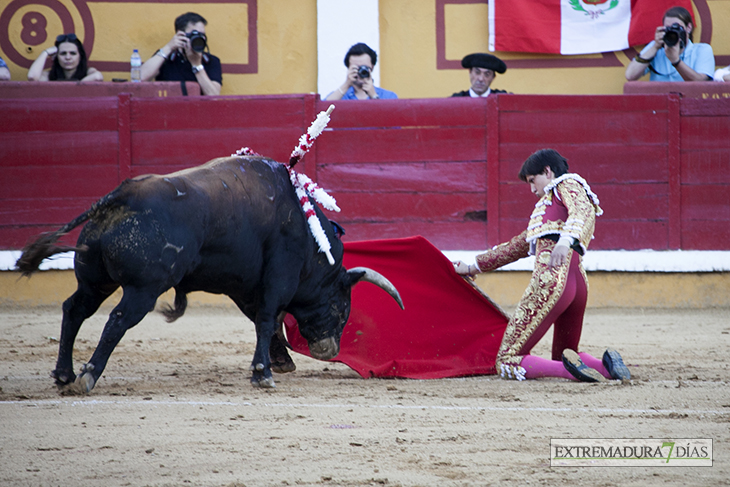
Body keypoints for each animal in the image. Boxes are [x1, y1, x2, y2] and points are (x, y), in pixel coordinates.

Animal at [15, 156, 404, 392]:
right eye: (341, 307)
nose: (328, 349)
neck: (311, 242)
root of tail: (121, 195)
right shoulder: (279, 275)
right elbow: (268, 318)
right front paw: (262, 373)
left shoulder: (244, 284)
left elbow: (263, 321)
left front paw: (279, 361)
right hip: (143, 289)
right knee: (117, 321)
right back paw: (88, 376)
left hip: (95, 280)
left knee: (75, 309)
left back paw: (64, 374)